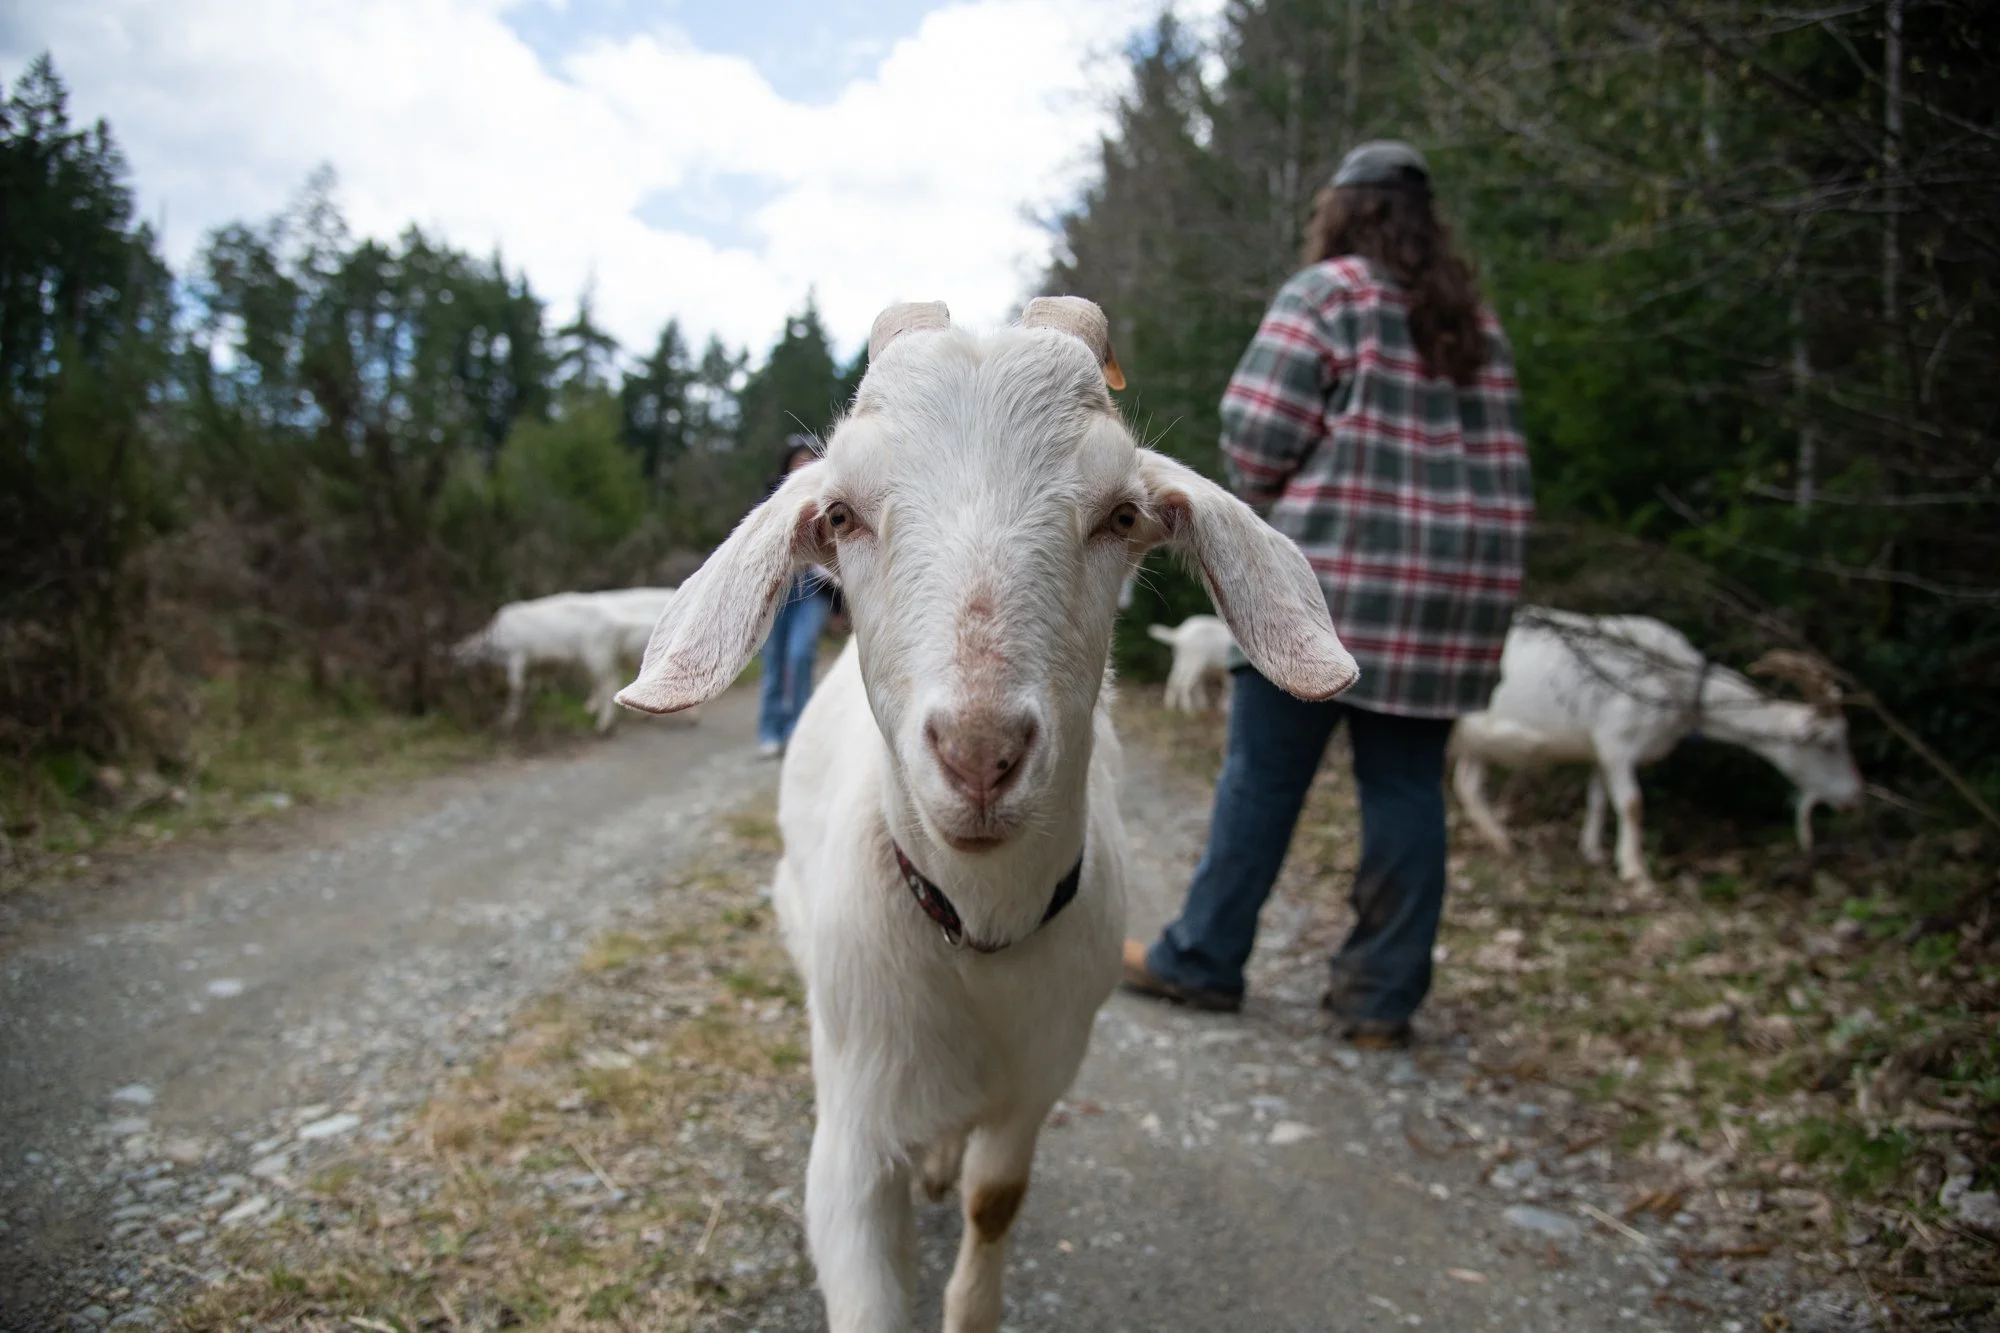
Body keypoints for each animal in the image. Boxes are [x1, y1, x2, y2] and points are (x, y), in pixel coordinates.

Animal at [617, 297, 1356, 1332]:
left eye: (1120, 514)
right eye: (840, 513)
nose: (978, 754)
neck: (978, 927)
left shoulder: (1041, 1077)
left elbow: (994, 1197)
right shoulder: (852, 1126)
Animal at [1450, 608, 1862, 887]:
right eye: (1829, 743)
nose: (1854, 797)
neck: (1672, 681)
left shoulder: (1601, 750)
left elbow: (1598, 796)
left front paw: (1594, 852)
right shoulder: (1618, 743)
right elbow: (1633, 804)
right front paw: (1636, 874)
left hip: (1474, 739)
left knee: (1467, 783)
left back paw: (1501, 841)